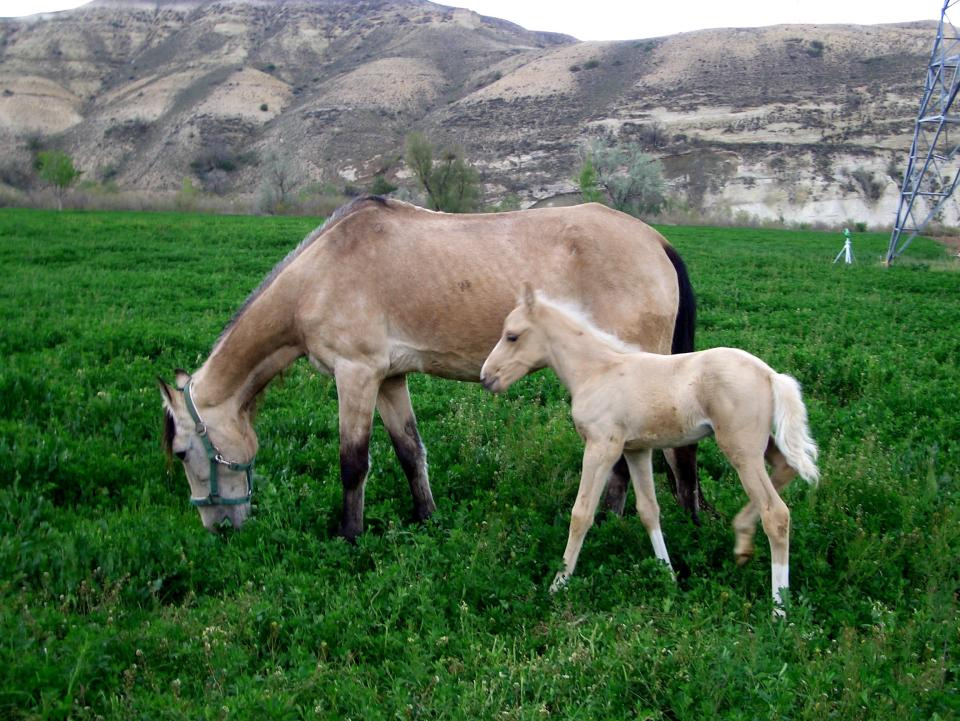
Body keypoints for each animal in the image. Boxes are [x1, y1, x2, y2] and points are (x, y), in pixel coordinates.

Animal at [159, 196, 699, 538]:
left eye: (183, 453)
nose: (218, 528)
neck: (320, 275)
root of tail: (656, 241)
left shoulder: (355, 375)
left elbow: (353, 462)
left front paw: (349, 535)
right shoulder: (389, 379)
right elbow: (409, 451)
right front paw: (426, 518)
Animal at [480, 284, 819, 614]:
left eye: (512, 335)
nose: (486, 377)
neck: (597, 371)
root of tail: (770, 375)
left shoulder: (602, 446)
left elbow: (581, 513)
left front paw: (558, 584)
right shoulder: (637, 450)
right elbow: (649, 511)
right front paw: (668, 576)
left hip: (741, 449)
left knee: (776, 513)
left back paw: (779, 610)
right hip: (757, 445)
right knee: (785, 468)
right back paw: (742, 542)